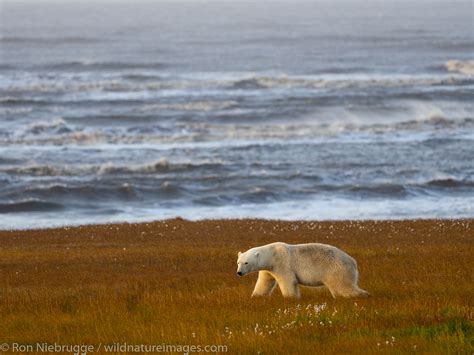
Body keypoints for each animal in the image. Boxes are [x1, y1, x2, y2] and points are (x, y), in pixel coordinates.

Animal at [239, 243, 368, 298]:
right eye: (238, 262)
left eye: (246, 262)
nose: (239, 273)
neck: (272, 254)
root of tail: (353, 261)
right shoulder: (268, 269)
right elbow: (264, 282)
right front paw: (256, 296)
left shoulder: (282, 264)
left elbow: (288, 281)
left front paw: (290, 297)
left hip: (336, 269)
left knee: (343, 286)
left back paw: (364, 295)